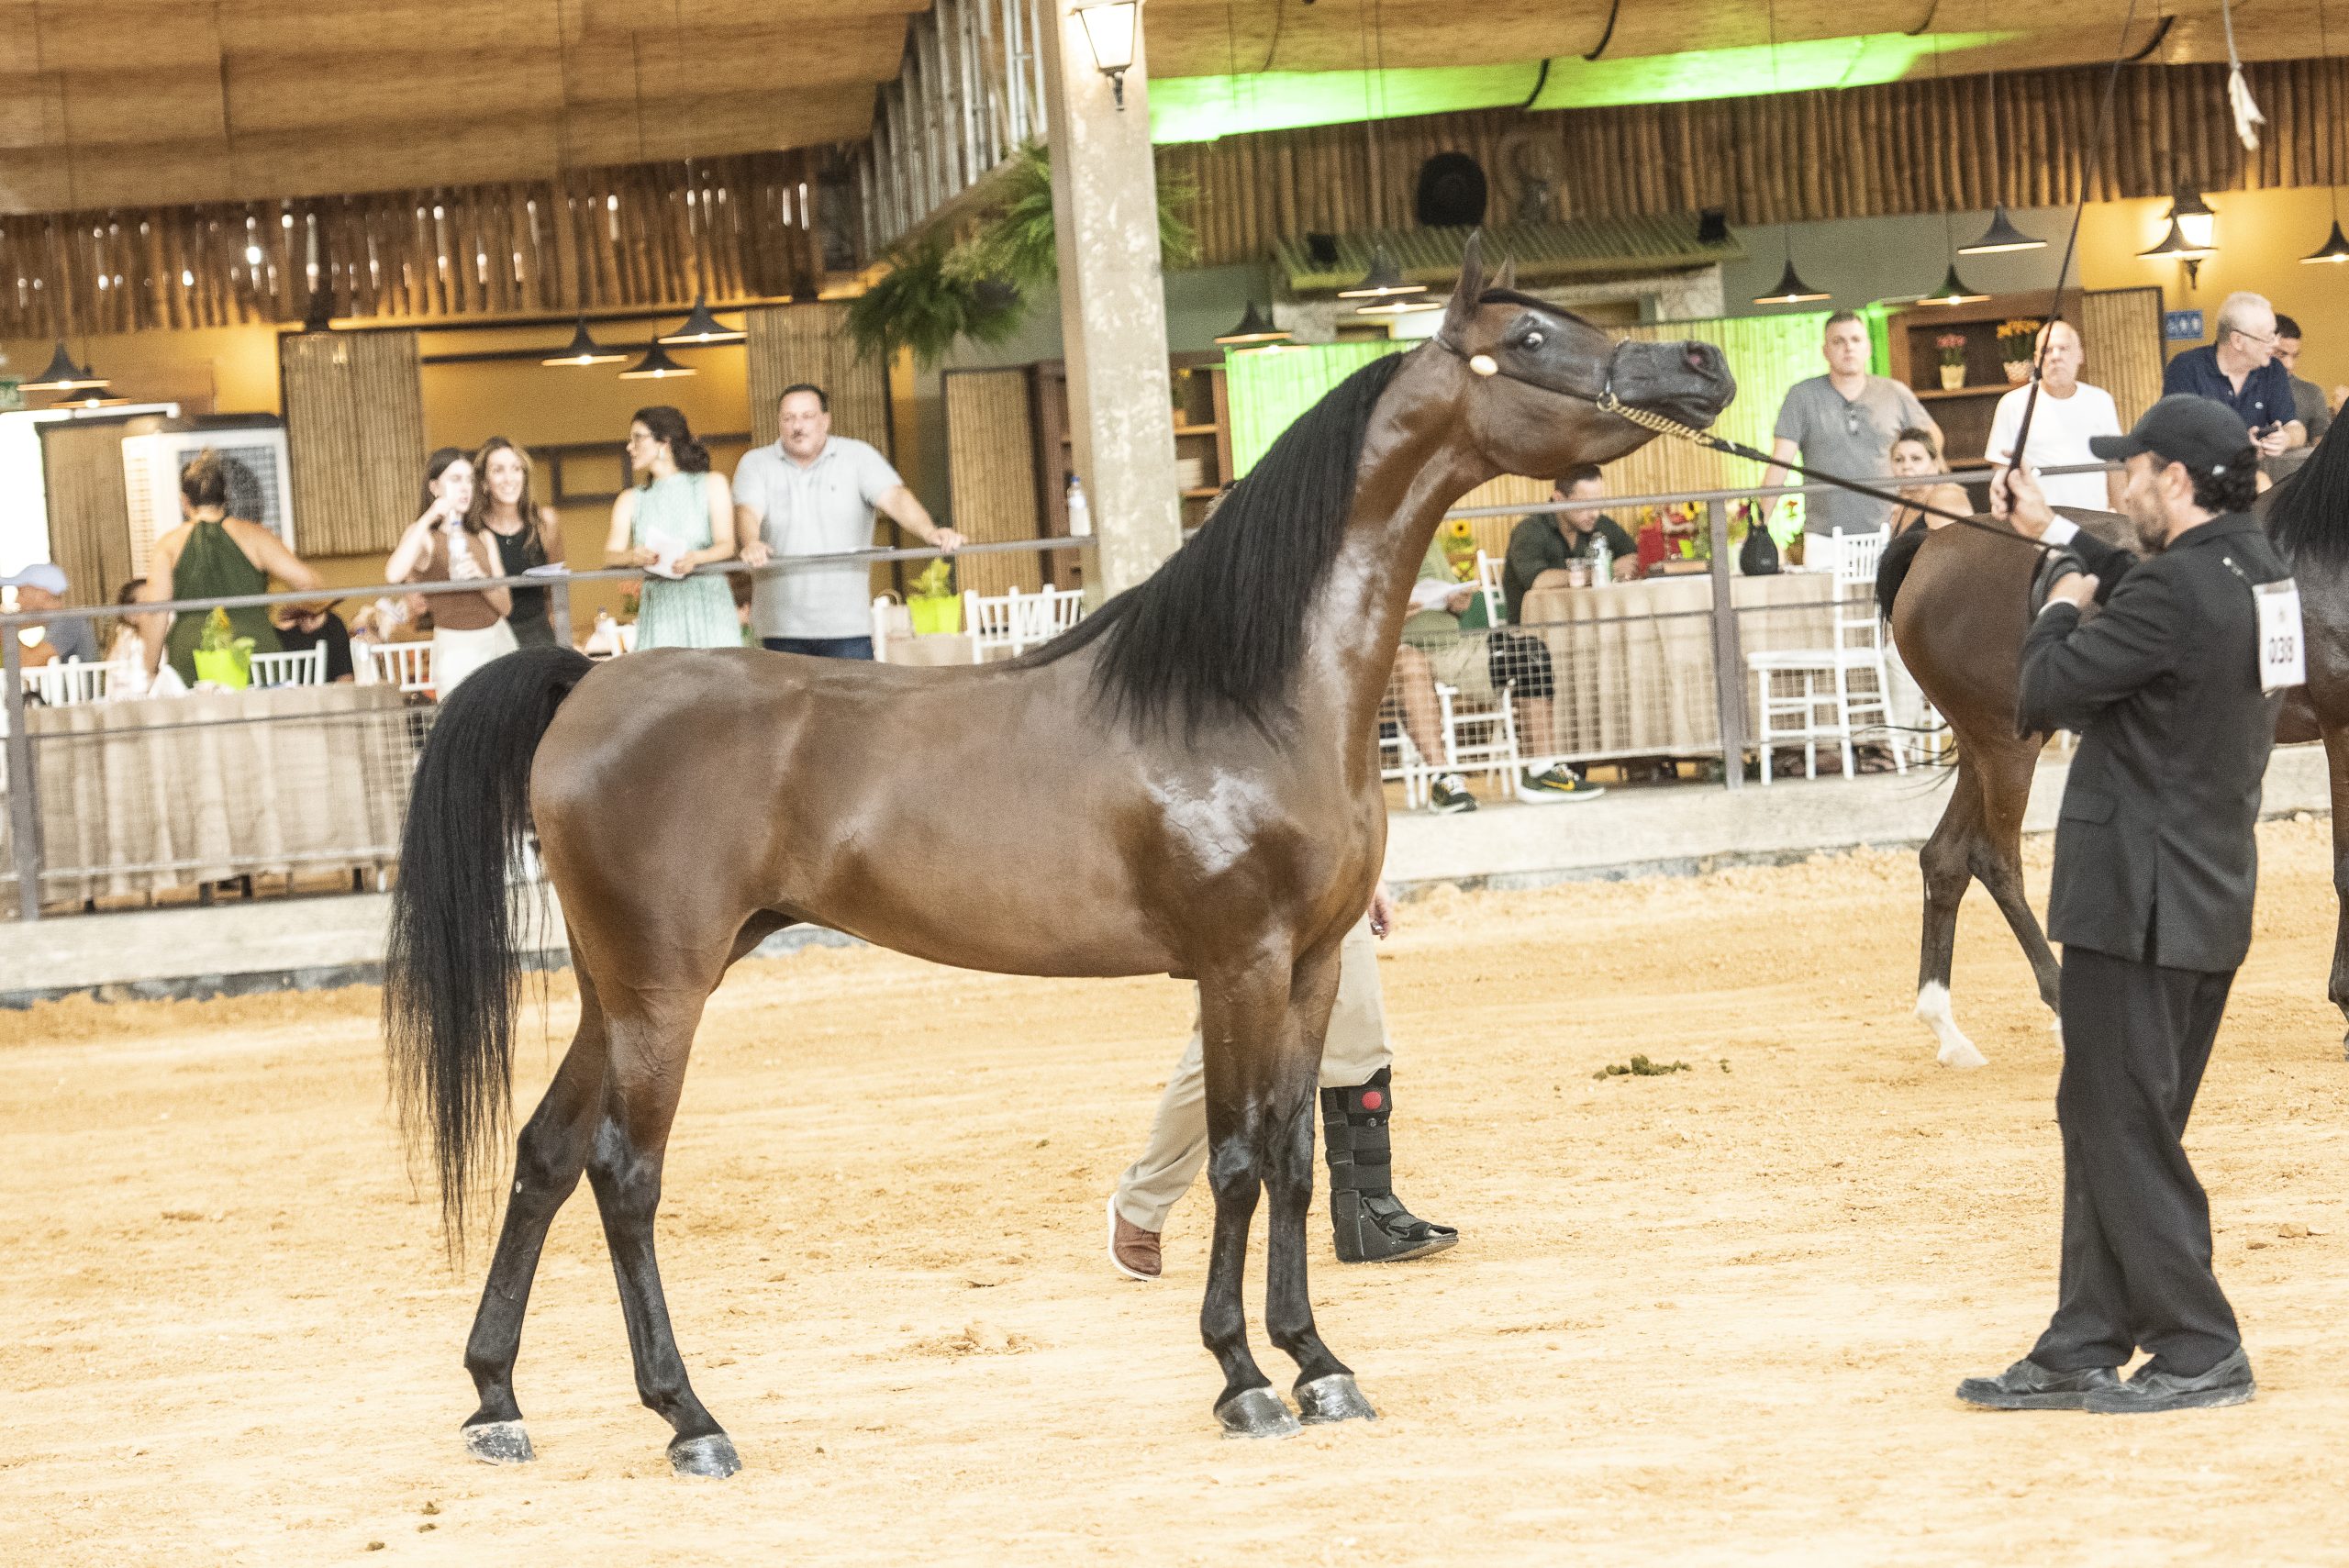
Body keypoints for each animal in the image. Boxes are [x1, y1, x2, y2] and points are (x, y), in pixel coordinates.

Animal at [381, 237, 1737, 1474]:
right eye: (1530, 338)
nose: (1701, 365)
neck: (1246, 694)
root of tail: (586, 683)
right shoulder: (1238, 965)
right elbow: (1235, 1162)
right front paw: (1243, 1376)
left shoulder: (1308, 966)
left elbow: (1295, 1160)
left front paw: (1318, 1361)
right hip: (663, 991)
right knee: (625, 1175)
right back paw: (691, 1420)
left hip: (618, 989)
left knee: (546, 1154)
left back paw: (497, 1399)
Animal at [1876, 416, 2349, 1068]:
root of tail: (1930, 548)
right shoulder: (2341, 725)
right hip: (2007, 746)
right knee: (1995, 861)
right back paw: (2059, 1010)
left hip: (1981, 745)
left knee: (1944, 859)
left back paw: (1948, 1030)